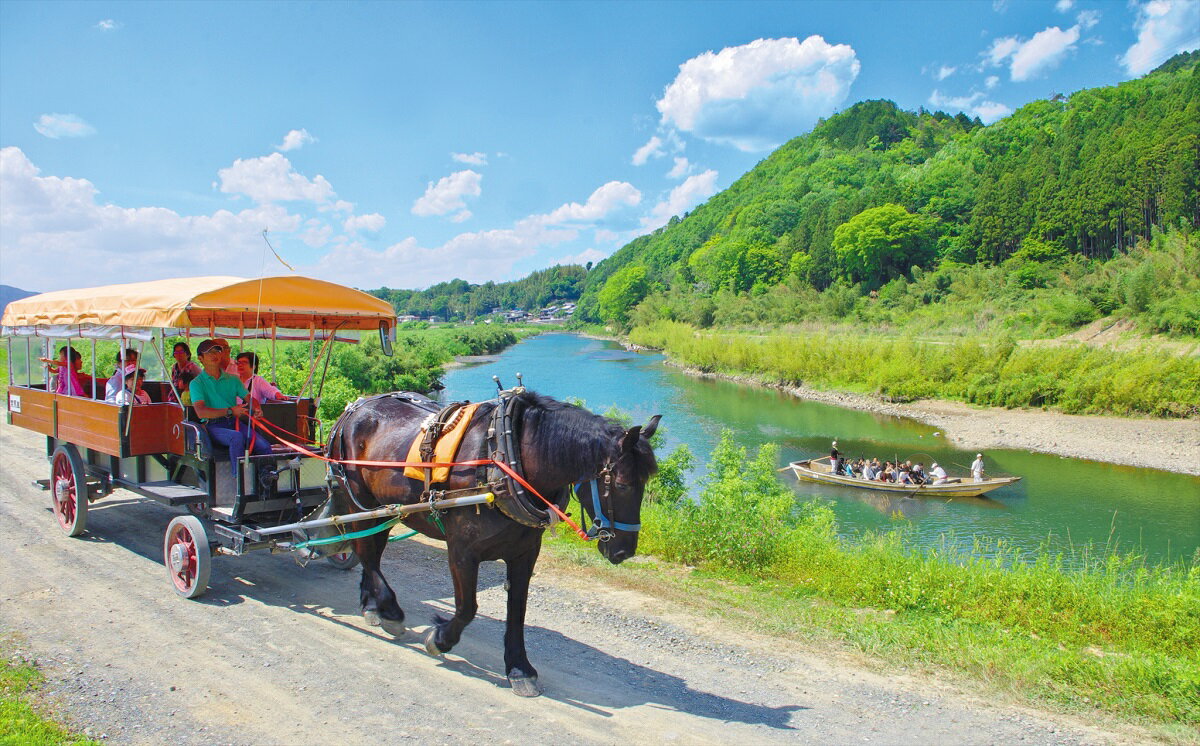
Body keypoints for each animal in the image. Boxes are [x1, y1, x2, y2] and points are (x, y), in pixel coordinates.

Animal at [328, 388, 662, 700]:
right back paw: (389, 610)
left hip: (383, 509)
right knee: (367, 553)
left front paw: (519, 668)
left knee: (370, 551)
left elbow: (517, 611)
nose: (624, 551)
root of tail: (355, 407)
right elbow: (467, 608)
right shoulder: (462, 551)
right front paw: (440, 639)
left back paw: (372, 604)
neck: (504, 462)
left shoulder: (525, 554)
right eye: (622, 485)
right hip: (359, 501)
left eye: (644, 484)